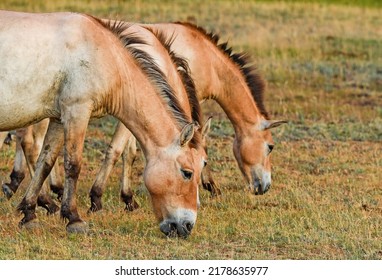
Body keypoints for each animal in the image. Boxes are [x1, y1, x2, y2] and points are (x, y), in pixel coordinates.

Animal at [0, 11, 206, 238]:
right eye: (187, 173)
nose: (187, 226)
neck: (104, 54)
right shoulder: (77, 111)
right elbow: (73, 165)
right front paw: (74, 218)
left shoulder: (58, 118)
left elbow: (45, 162)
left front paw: (29, 214)